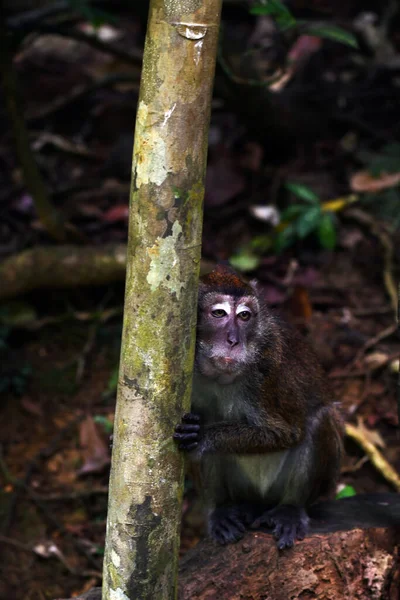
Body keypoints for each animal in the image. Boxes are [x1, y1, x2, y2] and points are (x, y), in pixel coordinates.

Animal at [173, 264, 342, 548]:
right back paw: (222, 510)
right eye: (218, 313)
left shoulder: (267, 373)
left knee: (320, 420)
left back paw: (290, 510)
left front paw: (204, 435)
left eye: (245, 316)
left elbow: (286, 433)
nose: (233, 340)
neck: (219, 375)